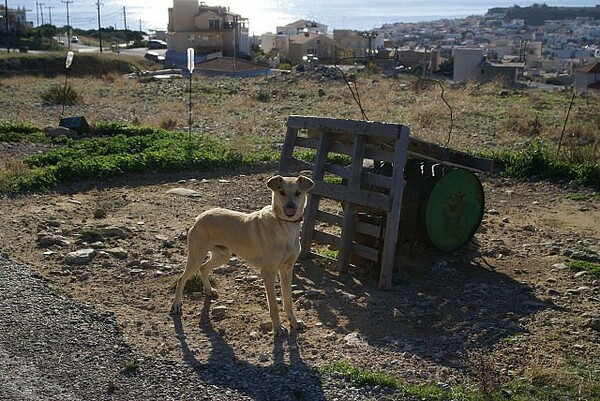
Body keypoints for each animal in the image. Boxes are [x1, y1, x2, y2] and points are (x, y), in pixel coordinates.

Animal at [169, 175, 314, 334]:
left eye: (298, 193)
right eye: (281, 192)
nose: (290, 208)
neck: (285, 227)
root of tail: (200, 216)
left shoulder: (287, 270)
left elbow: (288, 302)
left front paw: (293, 322)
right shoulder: (268, 272)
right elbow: (274, 306)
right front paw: (278, 327)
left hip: (222, 256)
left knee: (204, 268)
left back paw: (208, 290)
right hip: (196, 257)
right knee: (181, 279)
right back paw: (176, 305)